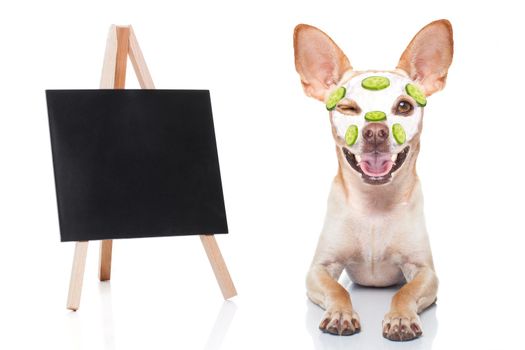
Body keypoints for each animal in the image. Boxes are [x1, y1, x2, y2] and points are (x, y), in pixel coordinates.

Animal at [292, 19, 452, 342]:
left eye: (404, 106)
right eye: (347, 107)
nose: (375, 131)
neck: (375, 206)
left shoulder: (425, 271)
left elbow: (405, 292)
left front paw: (401, 318)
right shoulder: (319, 268)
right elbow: (337, 289)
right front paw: (341, 313)